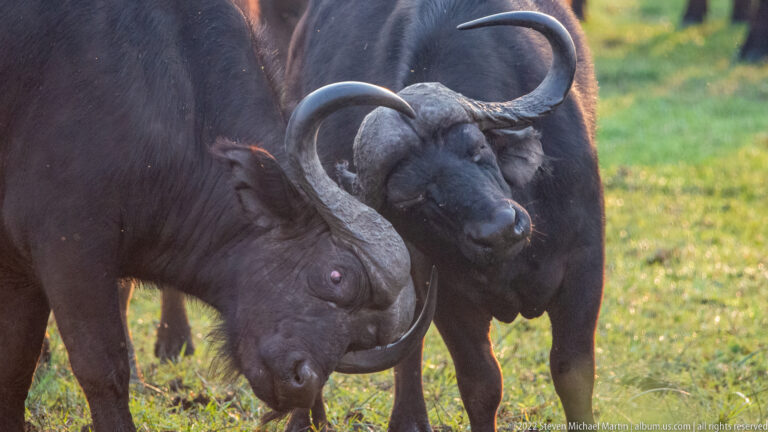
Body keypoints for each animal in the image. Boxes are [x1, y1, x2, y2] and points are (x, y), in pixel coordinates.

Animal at [0, 1, 437, 431]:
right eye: (336, 275)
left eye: (364, 334)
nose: (303, 381)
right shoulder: (70, 249)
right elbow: (102, 369)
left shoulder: (19, 271)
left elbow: (15, 369)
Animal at [285, 1, 602, 431]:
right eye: (414, 196)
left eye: (478, 148)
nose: (501, 229)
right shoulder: (446, 288)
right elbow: (481, 382)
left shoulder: (586, 263)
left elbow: (573, 371)